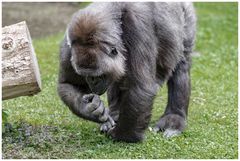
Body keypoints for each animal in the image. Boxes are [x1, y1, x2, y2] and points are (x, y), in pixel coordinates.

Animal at [58, 1, 197, 143]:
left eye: (98, 75)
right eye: (85, 75)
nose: (93, 82)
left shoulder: (138, 28)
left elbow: (140, 88)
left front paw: (122, 135)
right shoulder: (69, 43)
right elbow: (69, 84)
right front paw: (90, 109)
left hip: (186, 13)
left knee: (181, 66)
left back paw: (174, 118)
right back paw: (114, 115)